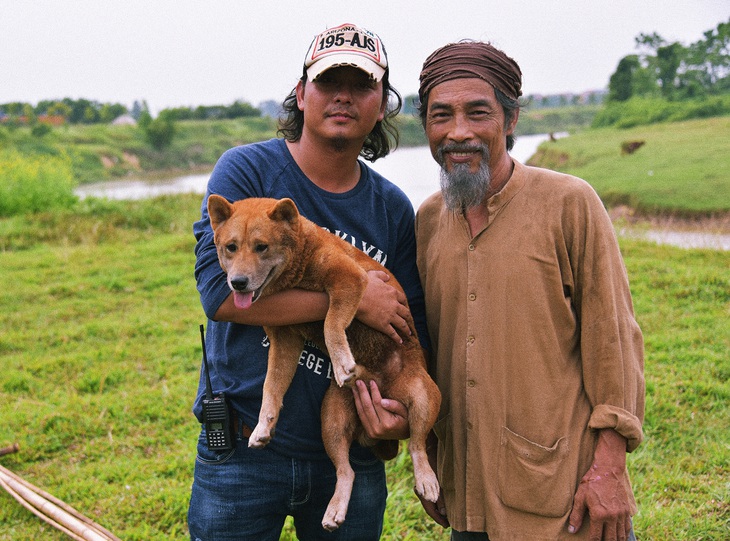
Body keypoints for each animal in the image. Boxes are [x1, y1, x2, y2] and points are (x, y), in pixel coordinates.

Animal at [208, 195, 440, 532]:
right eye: (231, 247)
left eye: (261, 247)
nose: (237, 283)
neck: (299, 265)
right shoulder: (285, 340)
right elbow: (271, 387)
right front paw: (264, 425)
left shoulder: (349, 279)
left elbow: (331, 323)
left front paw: (342, 361)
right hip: (331, 420)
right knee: (346, 471)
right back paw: (335, 508)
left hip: (424, 396)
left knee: (417, 446)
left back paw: (426, 479)